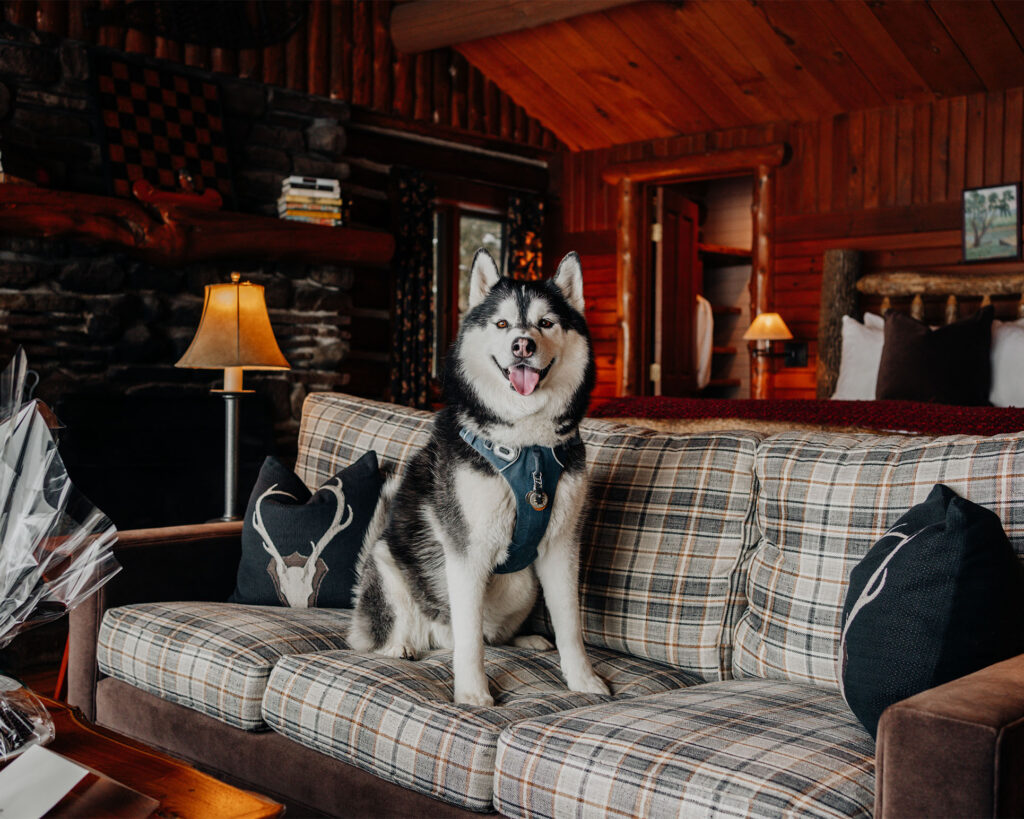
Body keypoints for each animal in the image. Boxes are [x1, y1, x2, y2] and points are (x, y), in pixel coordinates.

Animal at [348, 247, 610, 704]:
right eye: (503, 324)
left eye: (545, 323)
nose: (522, 344)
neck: (527, 447)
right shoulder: (467, 552)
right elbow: (470, 640)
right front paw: (472, 694)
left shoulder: (561, 547)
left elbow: (570, 626)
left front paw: (583, 680)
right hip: (385, 564)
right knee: (402, 633)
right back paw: (399, 646)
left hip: (523, 586)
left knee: (491, 635)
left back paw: (526, 640)